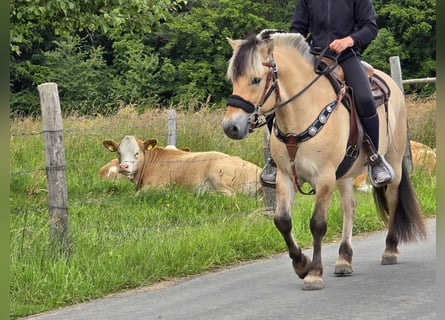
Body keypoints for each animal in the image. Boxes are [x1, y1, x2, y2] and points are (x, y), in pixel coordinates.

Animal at [220, 29, 424, 290]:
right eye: (233, 79)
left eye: (256, 80)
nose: (231, 127)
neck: (300, 114)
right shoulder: (284, 177)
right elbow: (282, 221)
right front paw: (301, 265)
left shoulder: (324, 178)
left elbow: (317, 224)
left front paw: (314, 273)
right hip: (345, 173)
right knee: (349, 207)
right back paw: (344, 259)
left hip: (393, 162)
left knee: (393, 199)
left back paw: (390, 250)